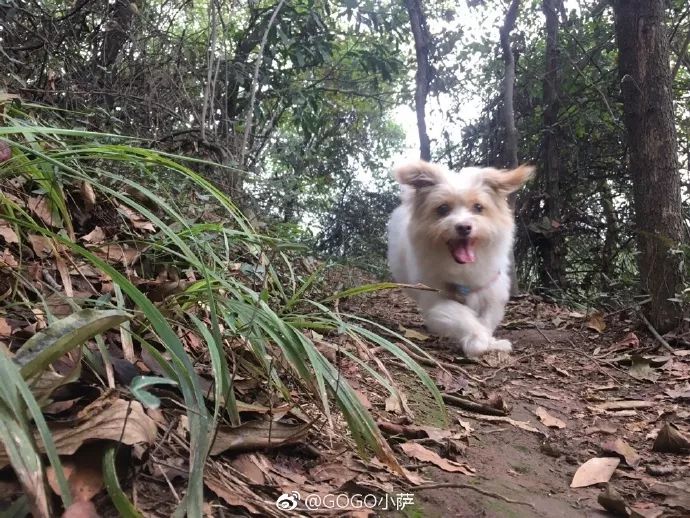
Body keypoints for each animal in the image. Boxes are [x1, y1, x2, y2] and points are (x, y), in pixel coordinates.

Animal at [388, 160, 532, 360]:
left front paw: (491, 341)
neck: (463, 269)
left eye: (478, 207)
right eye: (443, 209)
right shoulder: (436, 298)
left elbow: (487, 319)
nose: (464, 227)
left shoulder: (491, 292)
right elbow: (461, 316)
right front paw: (478, 341)